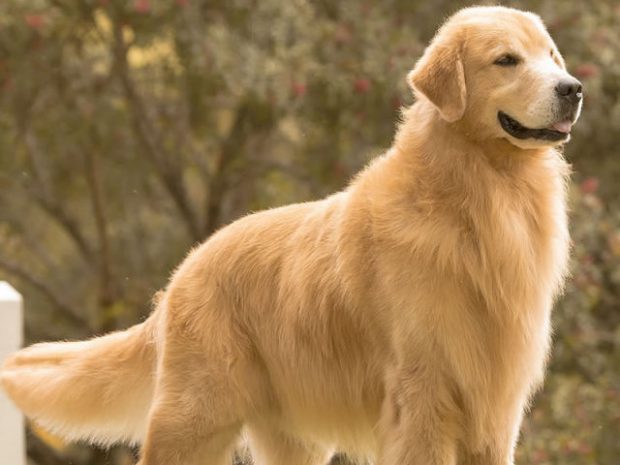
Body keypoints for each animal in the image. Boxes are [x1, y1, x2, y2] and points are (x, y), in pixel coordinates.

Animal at [1, 6, 580, 464]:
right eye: (507, 60)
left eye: (552, 55)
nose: (573, 89)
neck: (480, 194)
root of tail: (182, 273)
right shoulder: (425, 393)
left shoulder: (494, 406)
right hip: (194, 418)